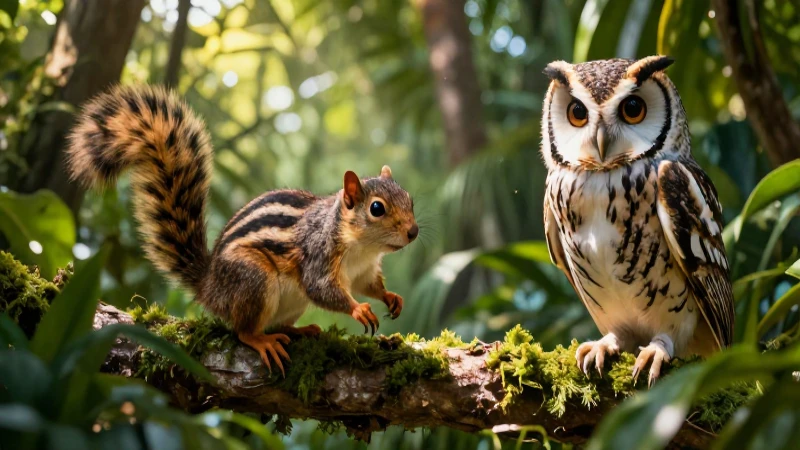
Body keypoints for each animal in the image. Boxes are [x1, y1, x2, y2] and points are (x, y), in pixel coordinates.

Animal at [65, 85, 419, 375]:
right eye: (377, 209)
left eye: (410, 199)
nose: (413, 232)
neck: (362, 247)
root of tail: (209, 286)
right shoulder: (318, 255)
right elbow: (323, 289)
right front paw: (359, 309)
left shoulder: (363, 270)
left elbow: (368, 285)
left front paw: (391, 298)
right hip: (253, 280)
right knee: (242, 331)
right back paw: (264, 341)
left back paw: (298, 331)